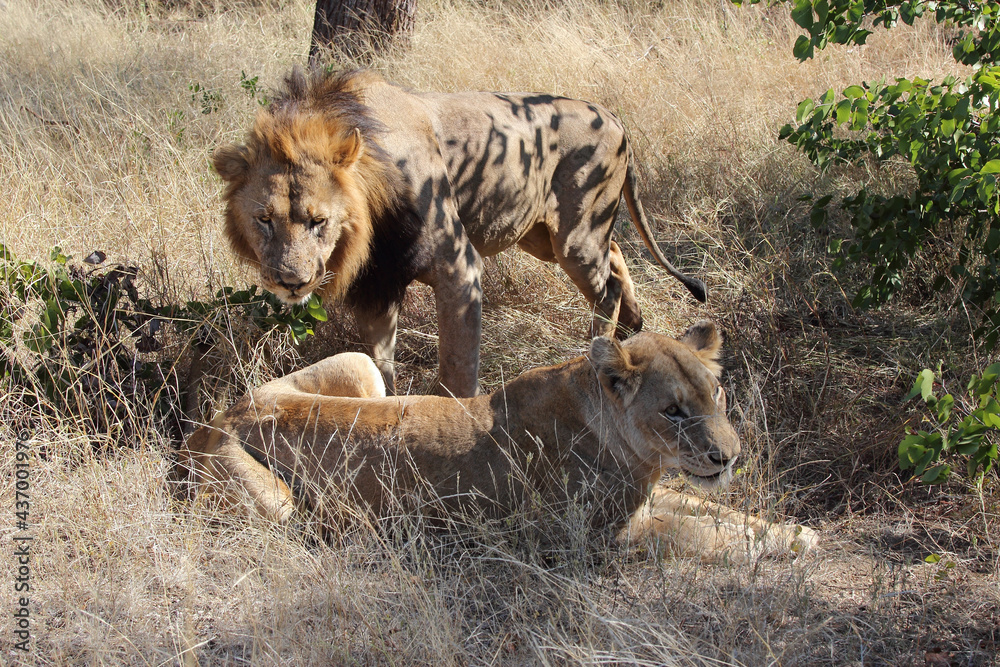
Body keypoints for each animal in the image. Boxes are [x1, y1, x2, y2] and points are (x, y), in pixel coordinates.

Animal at [182, 322, 817, 561]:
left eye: (718, 393)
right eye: (674, 411)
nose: (727, 457)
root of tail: (216, 418)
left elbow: (714, 510)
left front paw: (797, 533)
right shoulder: (597, 535)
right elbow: (698, 532)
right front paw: (778, 548)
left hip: (360, 366)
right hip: (276, 501)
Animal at [212, 68, 707, 397]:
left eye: (319, 221)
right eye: (264, 219)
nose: (290, 282)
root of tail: (612, 116)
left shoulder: (458, 265)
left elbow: (456, 364)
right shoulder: (378, 281)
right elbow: (378, 362)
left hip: (574, 235)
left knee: (606, 287)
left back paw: (603, 352)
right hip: (540, 233)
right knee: (617, 254)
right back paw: (633, 326)